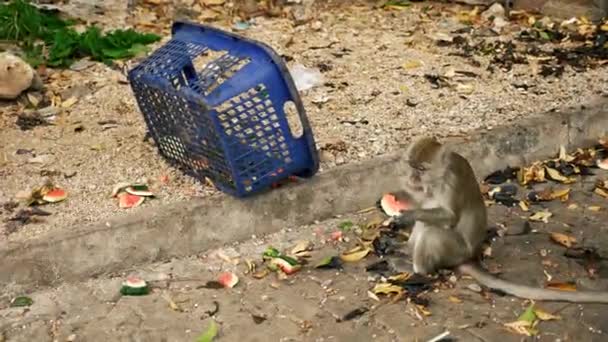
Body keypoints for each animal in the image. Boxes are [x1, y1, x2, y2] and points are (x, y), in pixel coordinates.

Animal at [390, 136, 608, 304]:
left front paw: (407, 216)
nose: (412, 178)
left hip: (455, 252)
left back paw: (418, 271)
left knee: (432, 230)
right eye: (411, 165)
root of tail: (470, 257)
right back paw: (406, 250)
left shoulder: (449, 182)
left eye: (422, 169)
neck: (436, 179)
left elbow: (449, 217)